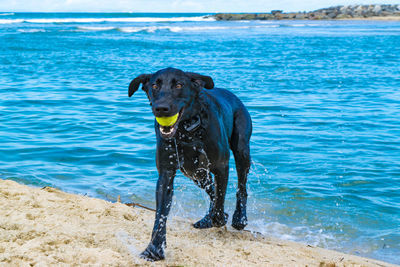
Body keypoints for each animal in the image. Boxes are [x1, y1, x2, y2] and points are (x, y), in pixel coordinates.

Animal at [128, 67, 252, 262]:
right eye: (155, 85)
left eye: (179, 85)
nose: (161, 108)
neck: (187, 132)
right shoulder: (166, 174)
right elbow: (160, 215)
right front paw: (154, 249)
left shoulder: (221, 166)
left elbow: (220, 199)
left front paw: (220, 218)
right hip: (195, 173)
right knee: (212, 190)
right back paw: (208, 219)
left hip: (241, 148)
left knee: (241, 187)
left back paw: (239, 218)